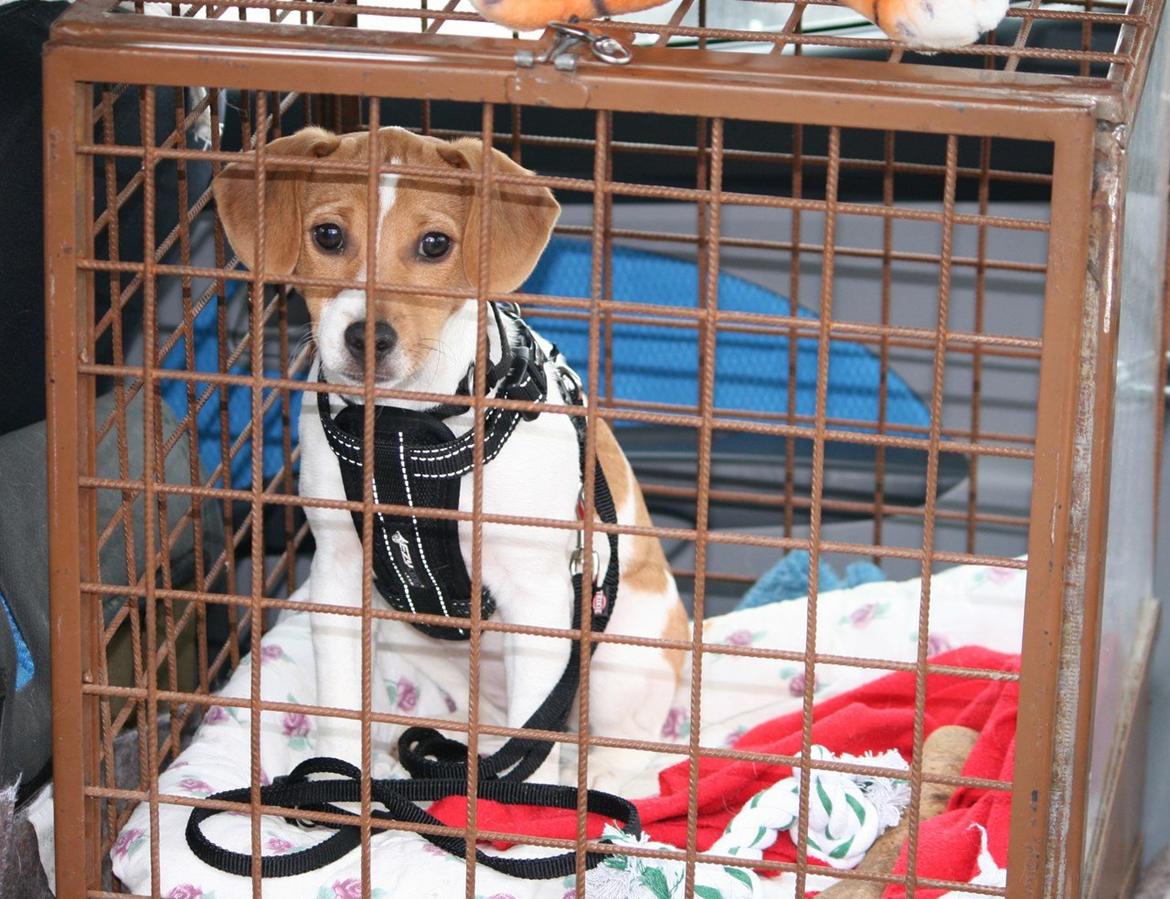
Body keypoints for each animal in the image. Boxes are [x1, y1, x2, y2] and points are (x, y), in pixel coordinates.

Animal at [214, 124, 687, 786]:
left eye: (435, 244)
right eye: (328, 235)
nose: (367, 336)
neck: (405, 430)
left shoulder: (537, 599)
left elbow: (532, 745)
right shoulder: (337, 576)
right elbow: (340, 706)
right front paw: (339, 780)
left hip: (621, 659)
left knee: (630, 743)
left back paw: (595, 776)